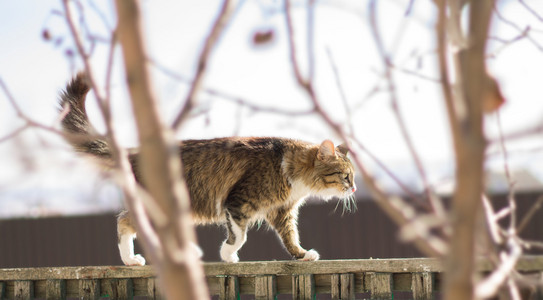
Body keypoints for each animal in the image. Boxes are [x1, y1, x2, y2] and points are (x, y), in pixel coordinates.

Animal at [59, 72, 356, 264]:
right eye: (345, 176)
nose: (353, 189)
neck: (288, 166)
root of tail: (132, 151)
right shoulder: (238, 202)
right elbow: (239, 236)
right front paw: (228, 255)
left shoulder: (282, 211)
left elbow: (291, 238)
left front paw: (302, 255)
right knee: (124, 221)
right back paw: (133, 260)